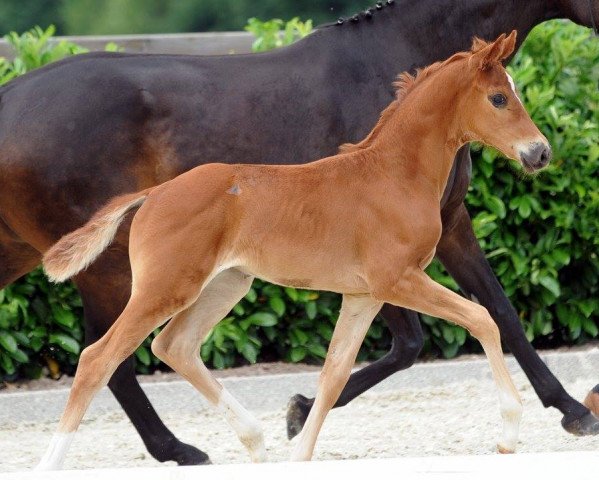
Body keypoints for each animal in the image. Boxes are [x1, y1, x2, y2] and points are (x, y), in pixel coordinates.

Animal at [0, 0, 596, 464]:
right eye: (499, 98)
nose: (539, 153)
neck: (390, 171)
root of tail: (155, 194)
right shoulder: (398, 281)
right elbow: (483, 320)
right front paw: (517, 429)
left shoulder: (366, 293)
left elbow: (335, 374)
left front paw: (299, 438)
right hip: (151, 284)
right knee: (100, 359)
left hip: (222, 283)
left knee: (173, 346)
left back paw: (250, 439)